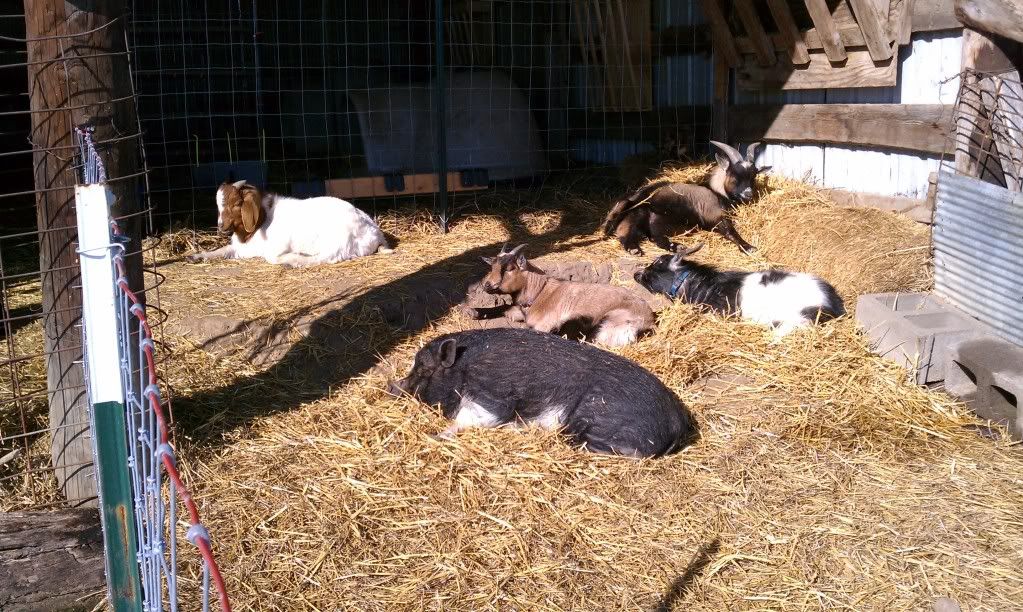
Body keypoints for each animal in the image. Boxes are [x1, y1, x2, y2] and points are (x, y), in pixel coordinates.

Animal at [189, 180, 391, 267]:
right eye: (218, 205)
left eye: (237, 203)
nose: (221, 226)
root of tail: (375, 233)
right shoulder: (241, 249)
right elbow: (222, 250)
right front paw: (196, 256)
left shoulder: (275, 247)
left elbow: (270, 257)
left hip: (339, 241)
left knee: (325, 258)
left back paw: (292, 260)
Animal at [476, 244, 655, 347]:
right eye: (492, 266)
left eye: (510, 268)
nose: (486, 285)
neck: (540, 292)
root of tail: (648, 321)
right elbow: (505, 308)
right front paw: (476, 311)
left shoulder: (544, 324)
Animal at [603, 141, 770, 256]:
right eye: (734, 176)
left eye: (753, 176)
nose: (748, 194)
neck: (716, 191)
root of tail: (635, 198)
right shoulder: (716, 216)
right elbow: (730, 231)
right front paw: (748, 247)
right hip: (646, 214)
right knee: (641, 232)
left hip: (643, 220)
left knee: (639, 236)